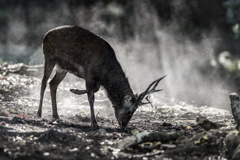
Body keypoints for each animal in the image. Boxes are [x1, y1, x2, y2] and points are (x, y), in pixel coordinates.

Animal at [37, 25, 166, 129]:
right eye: (130, 111)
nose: (124, 126)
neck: (104, 72)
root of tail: (45, 35)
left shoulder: (96, 80)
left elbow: (96, 89)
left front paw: (74, 90)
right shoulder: (89, 74)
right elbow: (91, 97)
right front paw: (94, 123)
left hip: (62, 68)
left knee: (53, 84)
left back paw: (56, 116)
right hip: (49, 56)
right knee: (43, 82)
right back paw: (39, 113)